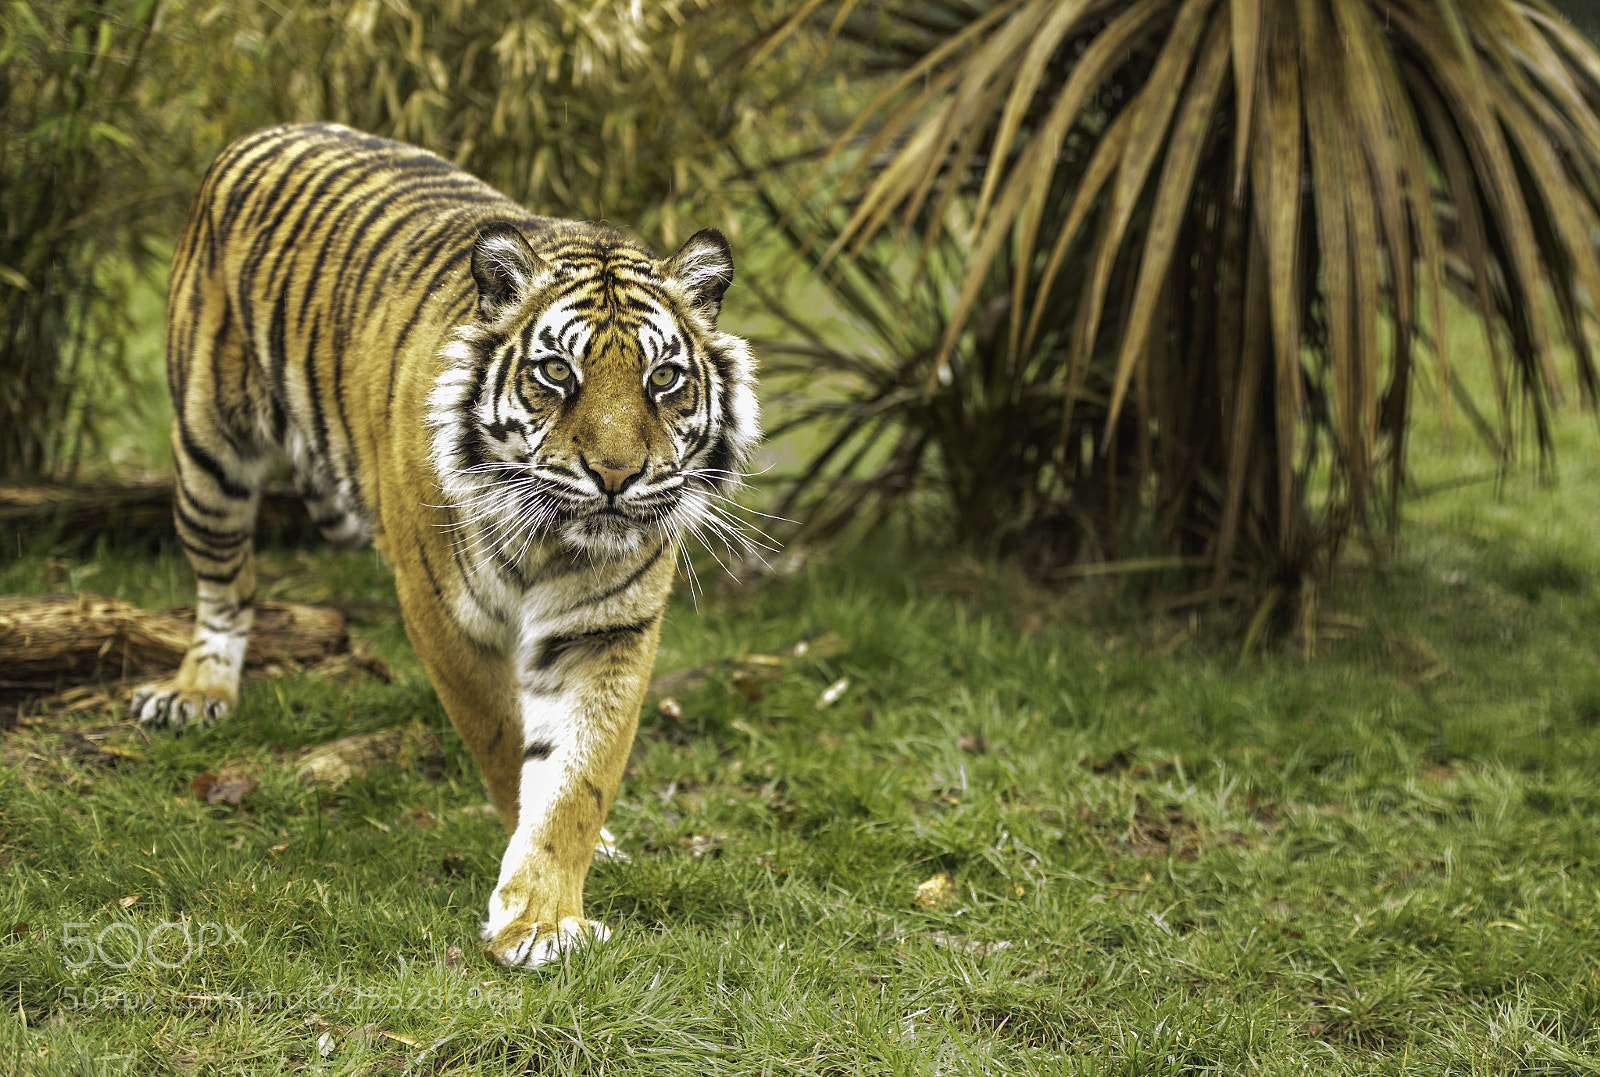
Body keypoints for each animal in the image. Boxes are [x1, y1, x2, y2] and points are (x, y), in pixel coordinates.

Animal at [129, 122, 761, 968]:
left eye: (664, 379)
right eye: (555, 373)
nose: (617, 475)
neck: (556, 540)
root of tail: (267, 129)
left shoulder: (610, 627)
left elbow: (580, 776)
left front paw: (544, 912)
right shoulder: (444, 612)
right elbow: (504, 739)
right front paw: (532, 890)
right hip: (208, 449)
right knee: (226, 585)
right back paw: (199, 691)